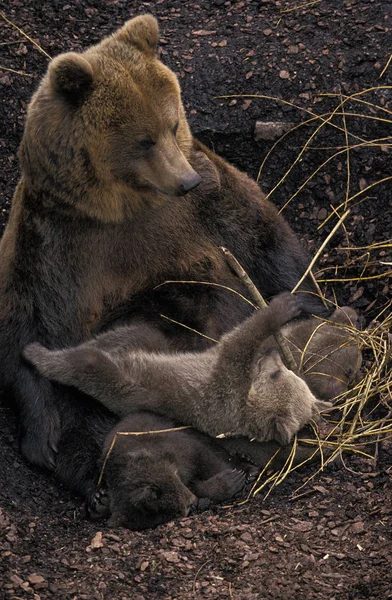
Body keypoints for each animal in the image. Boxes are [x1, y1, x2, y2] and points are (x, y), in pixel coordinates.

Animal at [0, 15, 326, 478]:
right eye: (144, 139)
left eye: (173, 125)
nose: (185, 180)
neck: (125, 207)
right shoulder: (51, 237)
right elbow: (22, 322)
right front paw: (43, 436)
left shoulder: (206, 202)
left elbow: (265, 244)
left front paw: (309, 304)